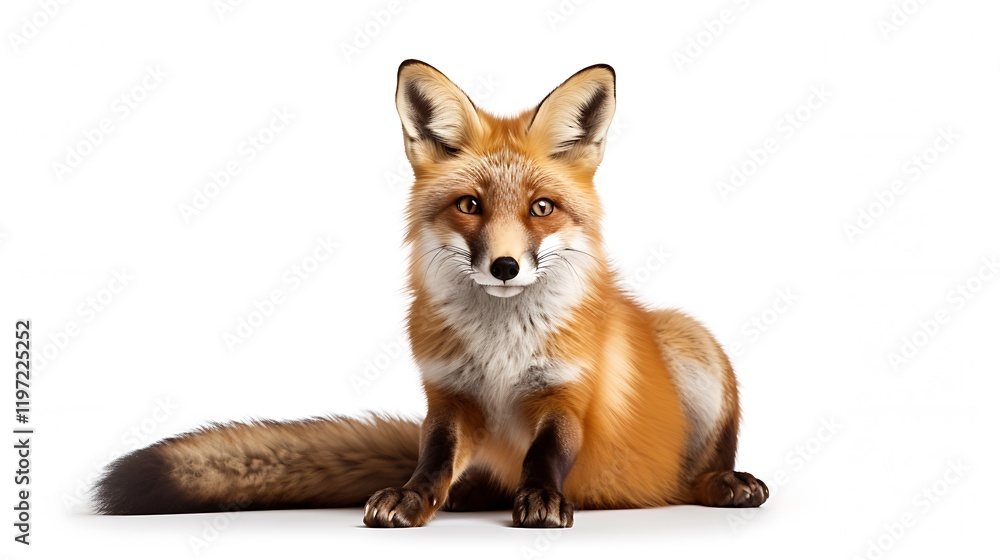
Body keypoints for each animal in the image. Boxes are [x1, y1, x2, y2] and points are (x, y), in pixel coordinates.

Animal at [94, 60, 768, 528]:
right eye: (469, 205)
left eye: (541, 208)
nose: (505, 266)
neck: (500, 350)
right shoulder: (448, 397)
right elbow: (432, 460)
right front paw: (415, 498)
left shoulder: (566, 393)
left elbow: (547, 454)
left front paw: (542, 499)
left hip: (692, 344)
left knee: (695, 474)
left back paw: (724, 484)